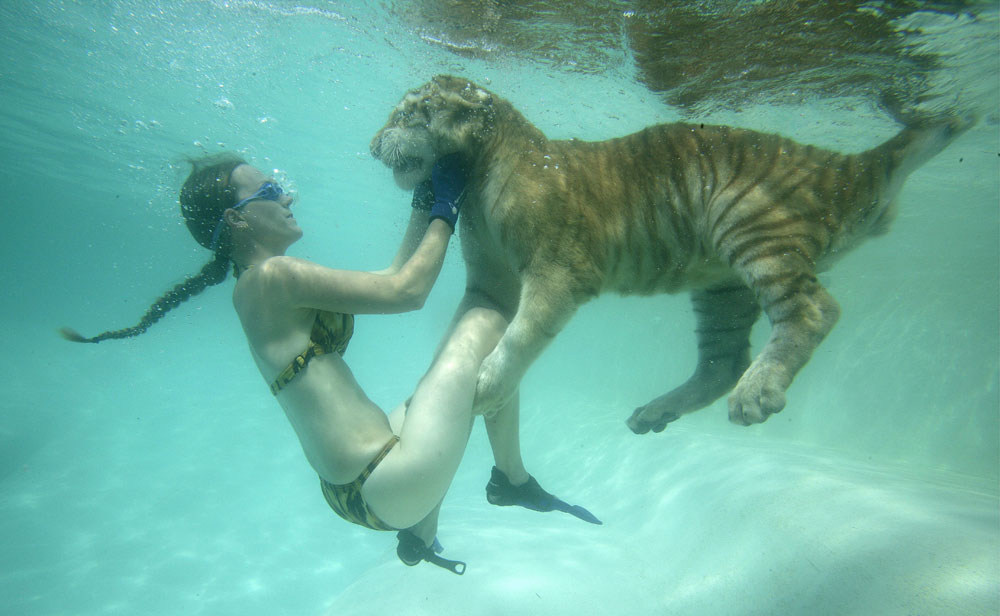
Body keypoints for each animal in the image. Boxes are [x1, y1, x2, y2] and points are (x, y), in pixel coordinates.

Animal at [370, 76, 968, 434]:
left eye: (405, 114)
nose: (373, 146)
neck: (476, 178)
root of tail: (845, 166)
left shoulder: (557, 271)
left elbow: (520, 336)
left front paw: (486, 386)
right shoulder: (490, 280)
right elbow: (465, 328)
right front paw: (428, 390)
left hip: (750, 224)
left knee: (814, 311)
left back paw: (756, 394)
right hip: (722, 288)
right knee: (722, 362)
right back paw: (656, 411)